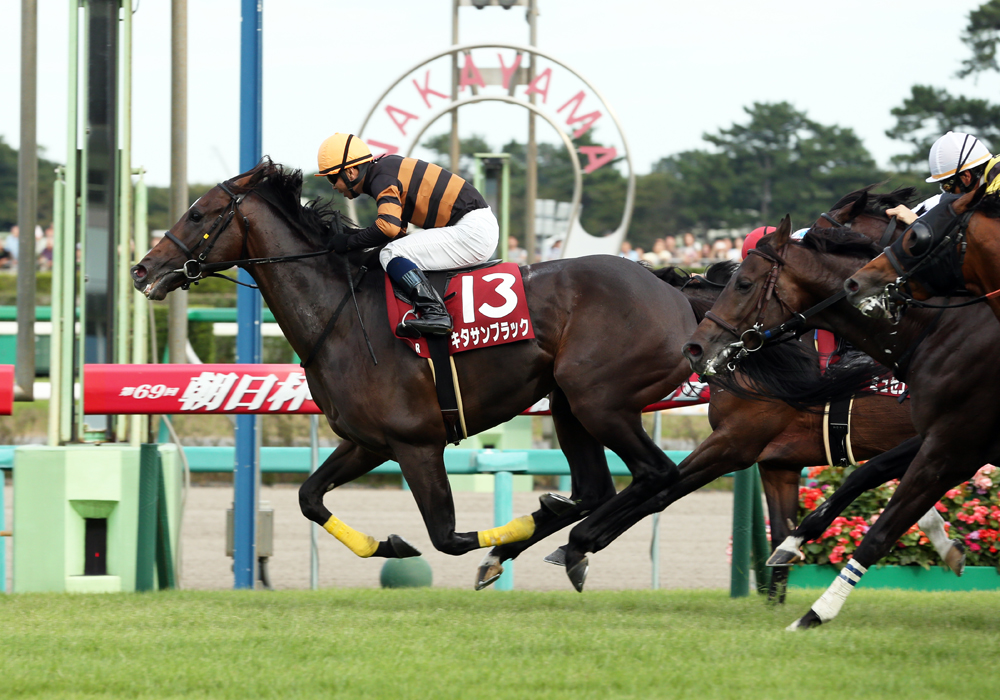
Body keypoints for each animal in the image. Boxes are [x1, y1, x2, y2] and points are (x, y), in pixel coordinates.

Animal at [131, 160, 696, 592]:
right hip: (567, 403)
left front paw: (490, 545)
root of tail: (669, 289)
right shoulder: (369, 442)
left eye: (197, 213)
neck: (340, 314)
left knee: (656, 474)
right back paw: (561, 542)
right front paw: (388, 544)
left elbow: (447, 537)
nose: (141, 270)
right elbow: (309, 497)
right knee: (598, 487)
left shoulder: (417, 443)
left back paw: (574, 544)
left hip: (600, 400)